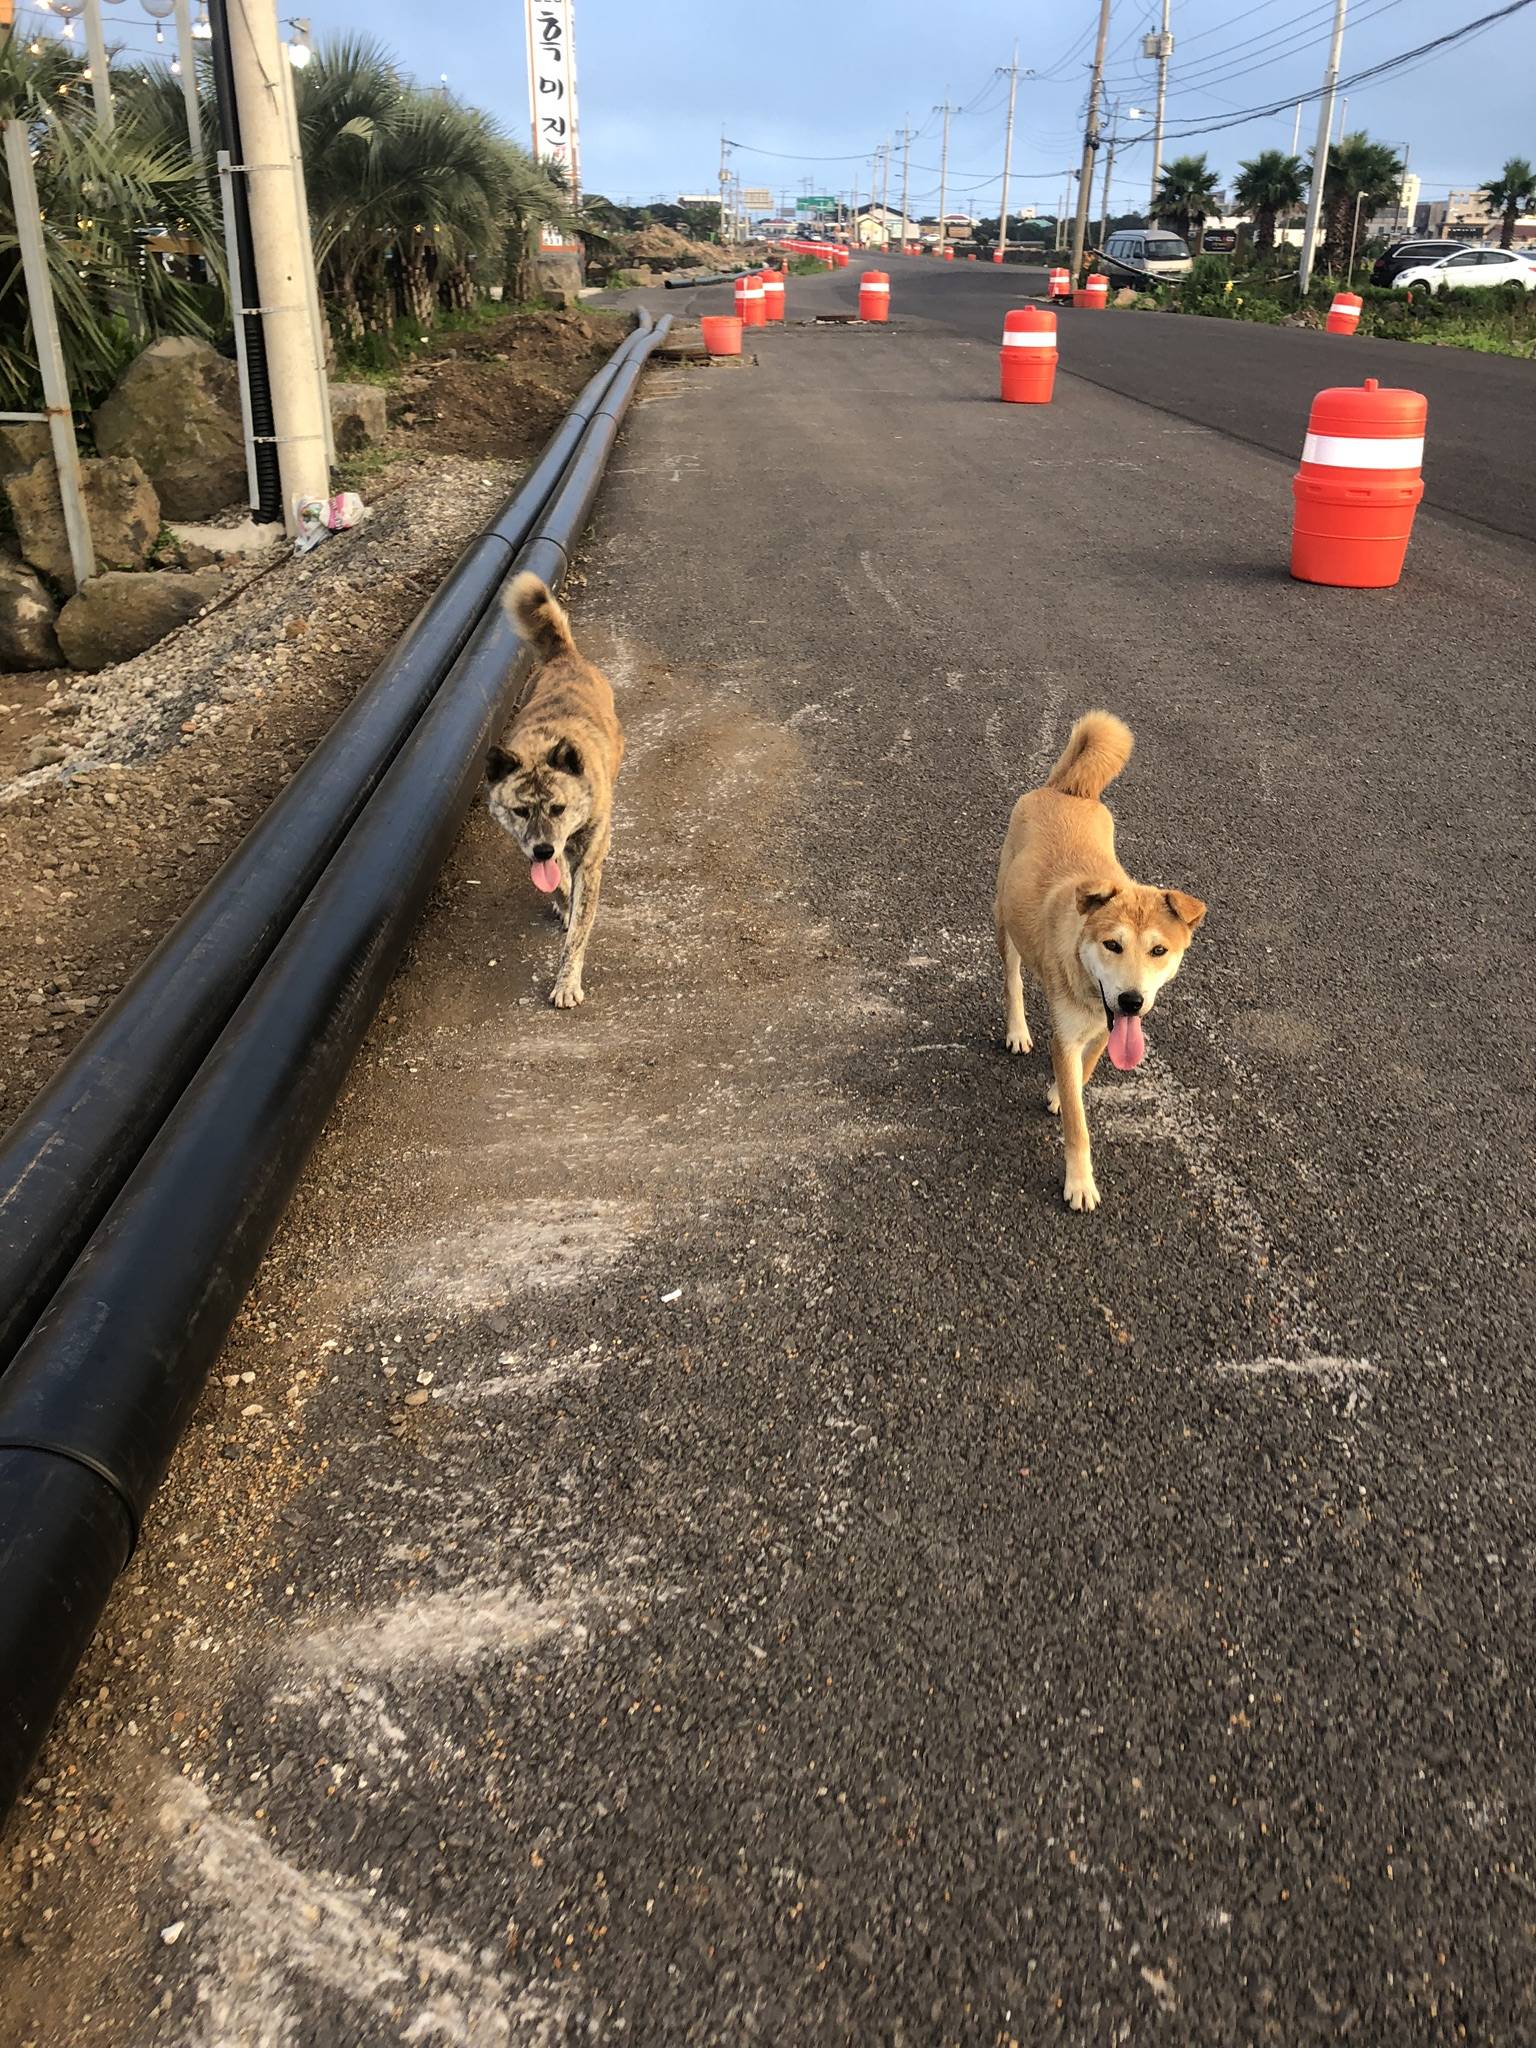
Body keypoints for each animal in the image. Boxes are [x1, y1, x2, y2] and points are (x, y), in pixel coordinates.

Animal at [487, 573, 618, 1003]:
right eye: (520, 811)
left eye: (559, 808)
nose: (544, 848)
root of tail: (564, 657)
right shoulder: (529, 845)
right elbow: (557, 881)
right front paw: (561, 898)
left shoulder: (589, 863)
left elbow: (577, 933)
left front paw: (566, 983)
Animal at [1003, 712, 1212, 1204]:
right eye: (1112, 945)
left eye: (1159, 950)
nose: (1132, 1000)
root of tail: (1068, 790)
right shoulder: (1065, 1036)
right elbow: (1078, 1126)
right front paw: (1080, 1181)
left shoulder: (1103, 1031)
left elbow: (1084, 1075)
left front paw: (1061, 1092)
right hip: (1004, 920)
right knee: (1013, 979)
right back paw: (1017, 1028)